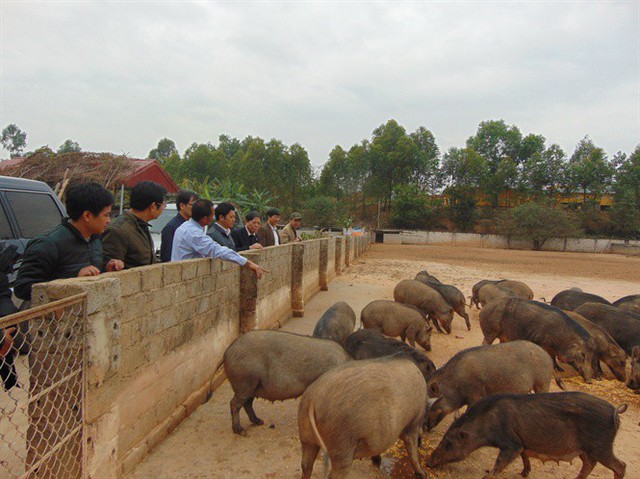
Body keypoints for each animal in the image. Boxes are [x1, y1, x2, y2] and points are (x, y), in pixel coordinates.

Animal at [221, 330, 350, 436]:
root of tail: (227, 351)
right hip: (244, 383)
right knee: (234, 404)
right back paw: (241, 431)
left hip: (251, 387)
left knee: (247, 404)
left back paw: (259, 421)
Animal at [298, 358, 428, 479]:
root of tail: (313, 399)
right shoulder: (413, 423)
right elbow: (412, 449)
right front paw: (423, 474)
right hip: (341, 444)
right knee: (334, 474)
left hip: (306, 436)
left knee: (306, 465)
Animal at [424, 394, 624, 479]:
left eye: (448, 442)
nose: (428, 461)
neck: (487, 424)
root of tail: (615, 411)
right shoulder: (521, 442)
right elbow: (524, 456)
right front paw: (524, 473)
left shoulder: (511, 443)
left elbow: (500, 463)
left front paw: (487, 475)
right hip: (586, 451)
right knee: (589, 465)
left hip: (601, 447)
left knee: (620, 466)